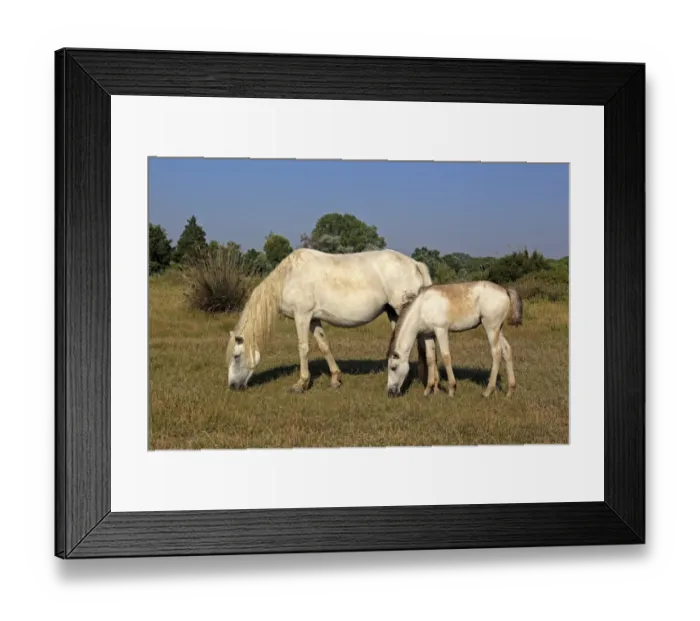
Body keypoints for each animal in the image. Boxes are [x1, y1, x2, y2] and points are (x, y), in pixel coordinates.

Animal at [226, 248, 437, 392]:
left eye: (236, 356)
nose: (232, 386)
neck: (288, 278)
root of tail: (415, 264)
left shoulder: (302, 316)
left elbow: (303, 348)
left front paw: (301, 383)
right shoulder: (313, 319)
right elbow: (324, 345)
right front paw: (335, 379)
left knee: (426, 343)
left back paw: (430, 384)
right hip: (394, 313)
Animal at [386, 281, 523, 398]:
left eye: (393, 367)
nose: (390, 392)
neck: (422, 308)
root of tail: (505, 290)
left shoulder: (441, 330)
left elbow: (446, 357)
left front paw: (452, 389)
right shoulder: (428, 335)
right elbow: (430, 359)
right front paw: (428, 389)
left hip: (491, 328)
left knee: (496, 353)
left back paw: (488, 391)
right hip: (498, 329)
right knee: (507, 351)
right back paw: (510, 391)